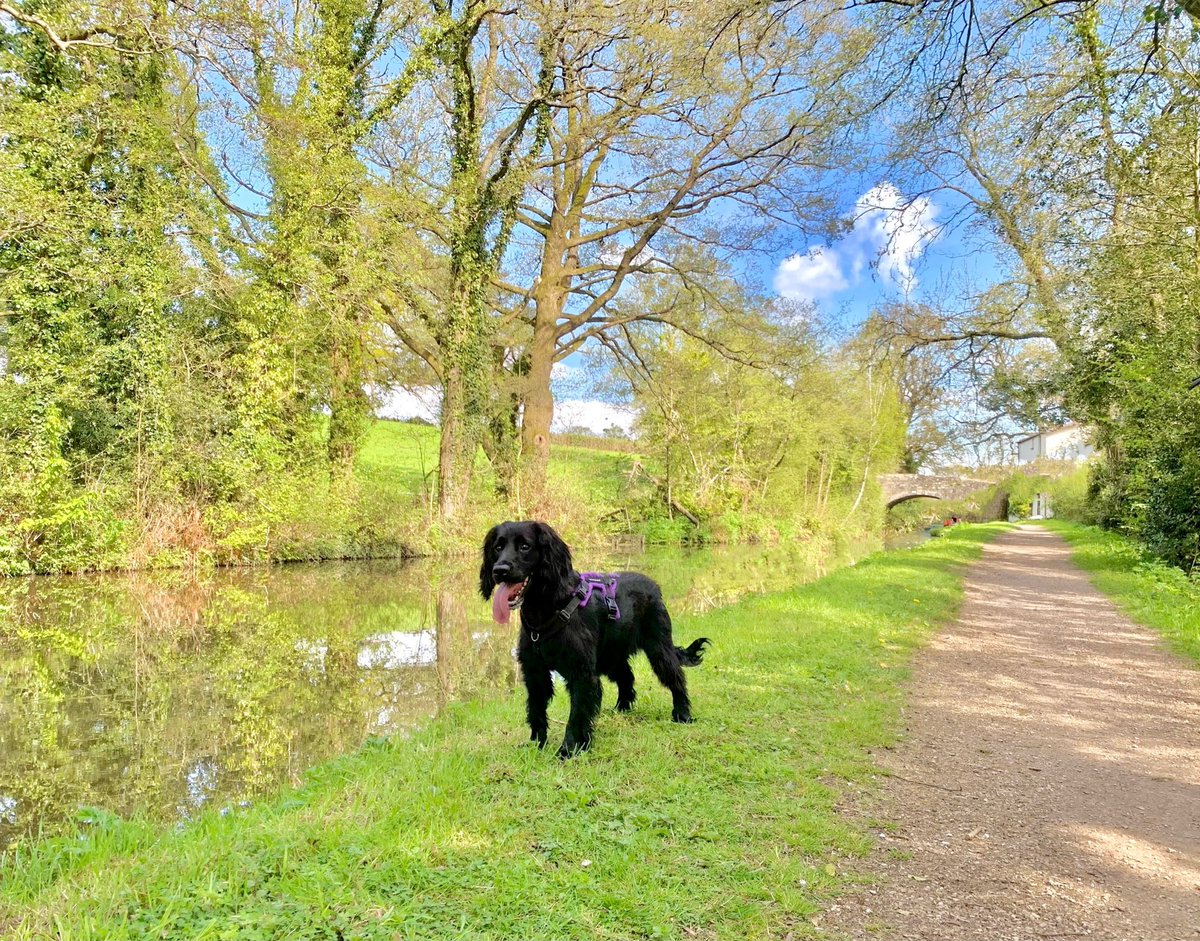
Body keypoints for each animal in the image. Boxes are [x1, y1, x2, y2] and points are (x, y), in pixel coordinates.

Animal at [477, 520, 705, 758]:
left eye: (524, 546)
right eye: (498, 547)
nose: (499, 570)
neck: (549, 608)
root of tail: (654, 586)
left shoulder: (582, 674)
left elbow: (576, 715)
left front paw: (568, 750)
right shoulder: (535, 672)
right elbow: (536, 710)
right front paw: (536, 744)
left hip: (659, 649)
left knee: (676, 678)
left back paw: (682, 714)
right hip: (611, 657)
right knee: (626, 677)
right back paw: (622, 709)